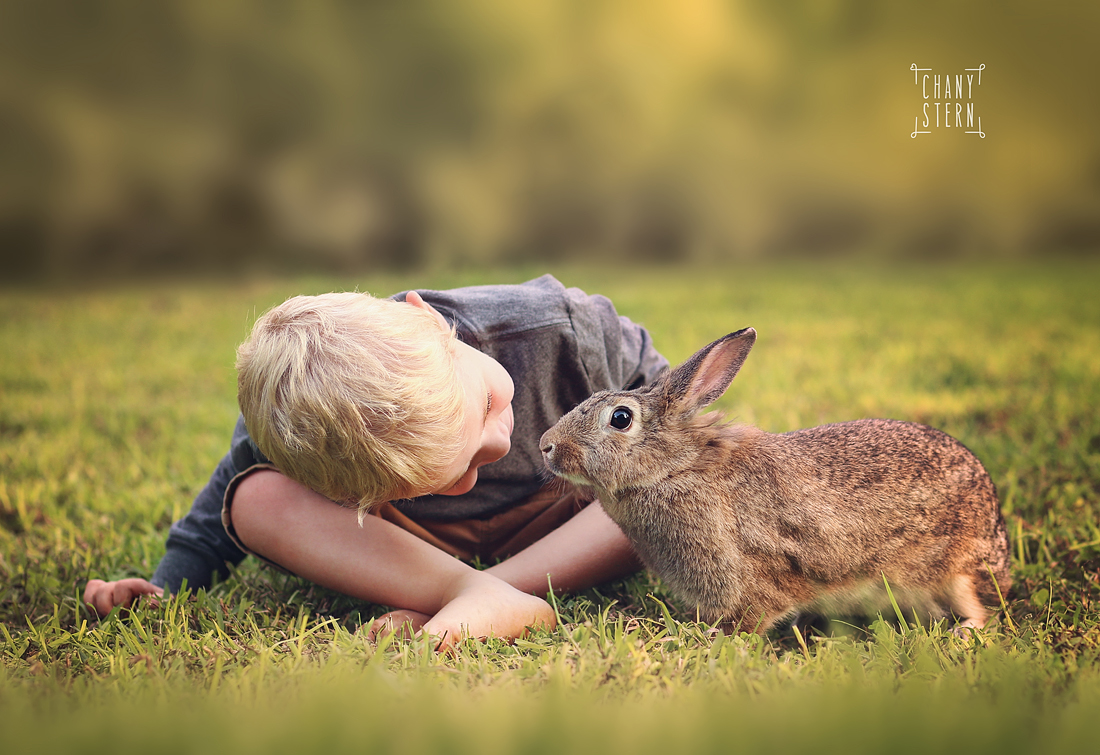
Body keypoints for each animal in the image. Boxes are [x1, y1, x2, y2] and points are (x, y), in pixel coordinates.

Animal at [536, 327, 1007, 633]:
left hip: (955, 571)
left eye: (620, 418)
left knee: (980, 609)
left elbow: (755, 616)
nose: (546, 445)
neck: (675, 469)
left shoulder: (757, 576)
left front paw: (716, 640)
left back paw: (963, 635)